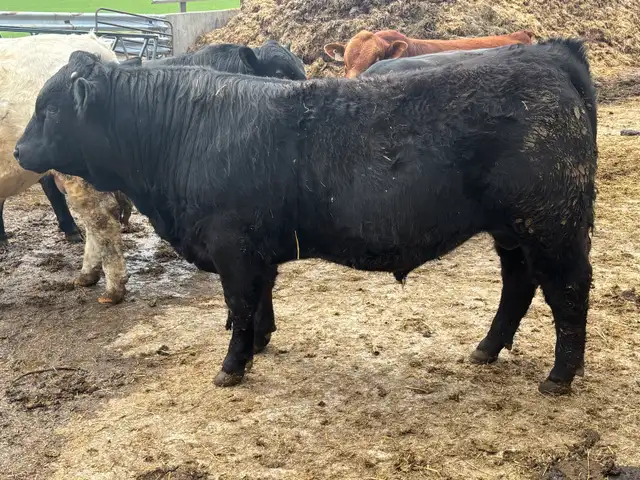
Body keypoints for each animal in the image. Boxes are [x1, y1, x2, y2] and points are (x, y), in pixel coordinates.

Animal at [15, 38, 597, 396]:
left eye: (48, 108)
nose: (19, 151)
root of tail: (545, 54)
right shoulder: (255, 248)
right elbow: (259, 302)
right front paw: (260, 346)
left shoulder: (232, 246)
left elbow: (239, 305)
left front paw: (232, 367)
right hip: (514, 231)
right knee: (518, 283)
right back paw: (486, 349)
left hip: (553, 226)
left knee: (568, 292)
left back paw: (559, 376)